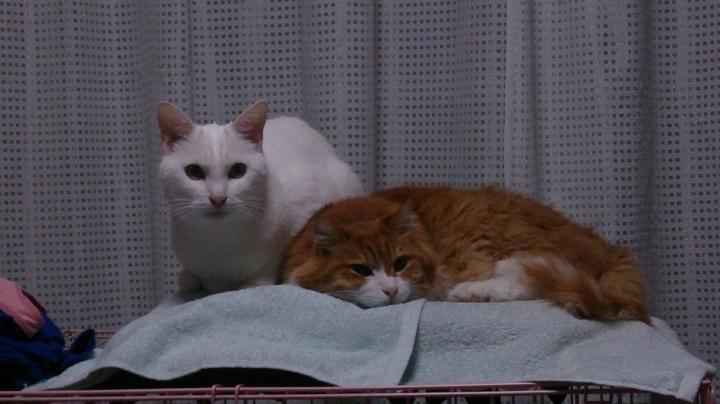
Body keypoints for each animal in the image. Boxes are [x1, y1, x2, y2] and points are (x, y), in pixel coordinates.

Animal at [157, 100, 363, 293]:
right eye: (194, 172)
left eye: (238, 171)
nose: (218, 198)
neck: (218, 237)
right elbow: (190, 279)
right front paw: (189, 277)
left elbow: (275, 257)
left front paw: (255, 282)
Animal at [282, 185, 649, 322]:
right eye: (361, 269)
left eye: (400, 263)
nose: (391, 290)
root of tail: (610, 246)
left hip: (500, 237)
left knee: (529, 281)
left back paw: (469, 292)